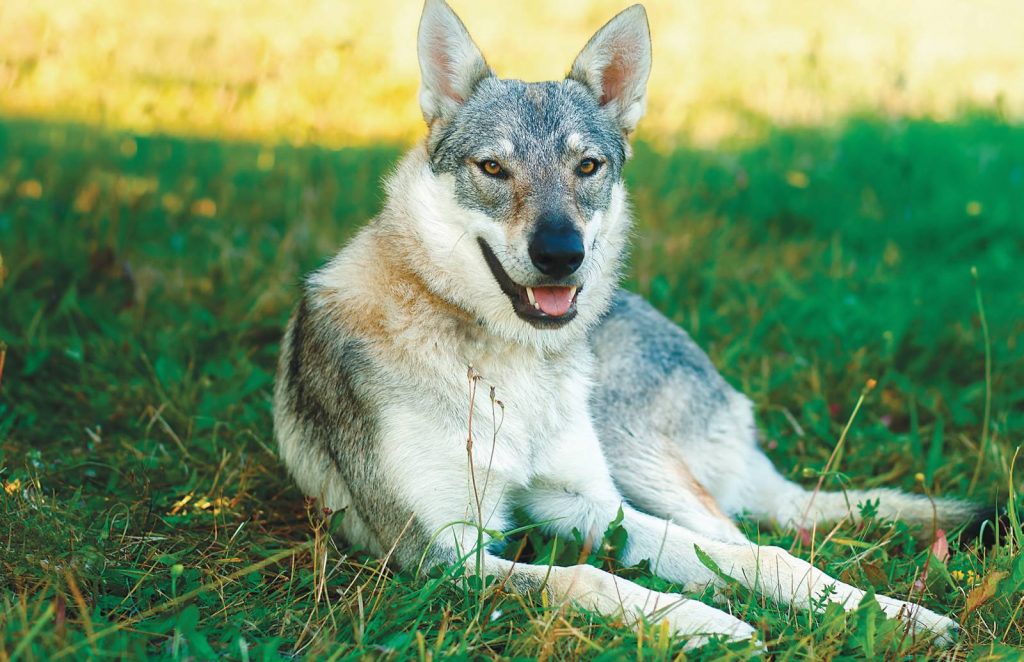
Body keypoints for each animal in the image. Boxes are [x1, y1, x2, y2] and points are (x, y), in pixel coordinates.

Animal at [274, 0, 983, 651]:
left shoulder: (590, 502)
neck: (511, 363)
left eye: (587, 167)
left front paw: (889, 614)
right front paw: (704, 623)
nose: (561, 254)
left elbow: (751, 558)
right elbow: (588, 577)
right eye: (493, 168)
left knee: (754, 536)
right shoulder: (441, 553)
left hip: (637, 462)